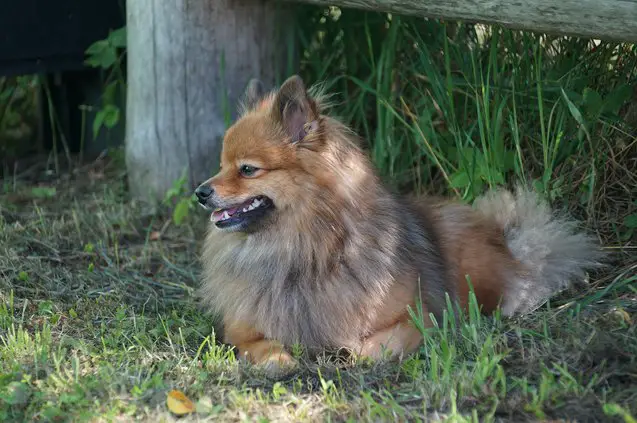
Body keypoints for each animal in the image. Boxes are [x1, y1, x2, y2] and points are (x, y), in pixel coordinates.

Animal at [191, 74, 604, 376]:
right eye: (221, 165)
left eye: (247, 170)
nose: (200, 192)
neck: (303, 249)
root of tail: (504, 234)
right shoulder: (241, 328)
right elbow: (261, 345)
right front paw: (281, 360)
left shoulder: (417, 317)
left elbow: (370, 348)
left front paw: (349, 353)